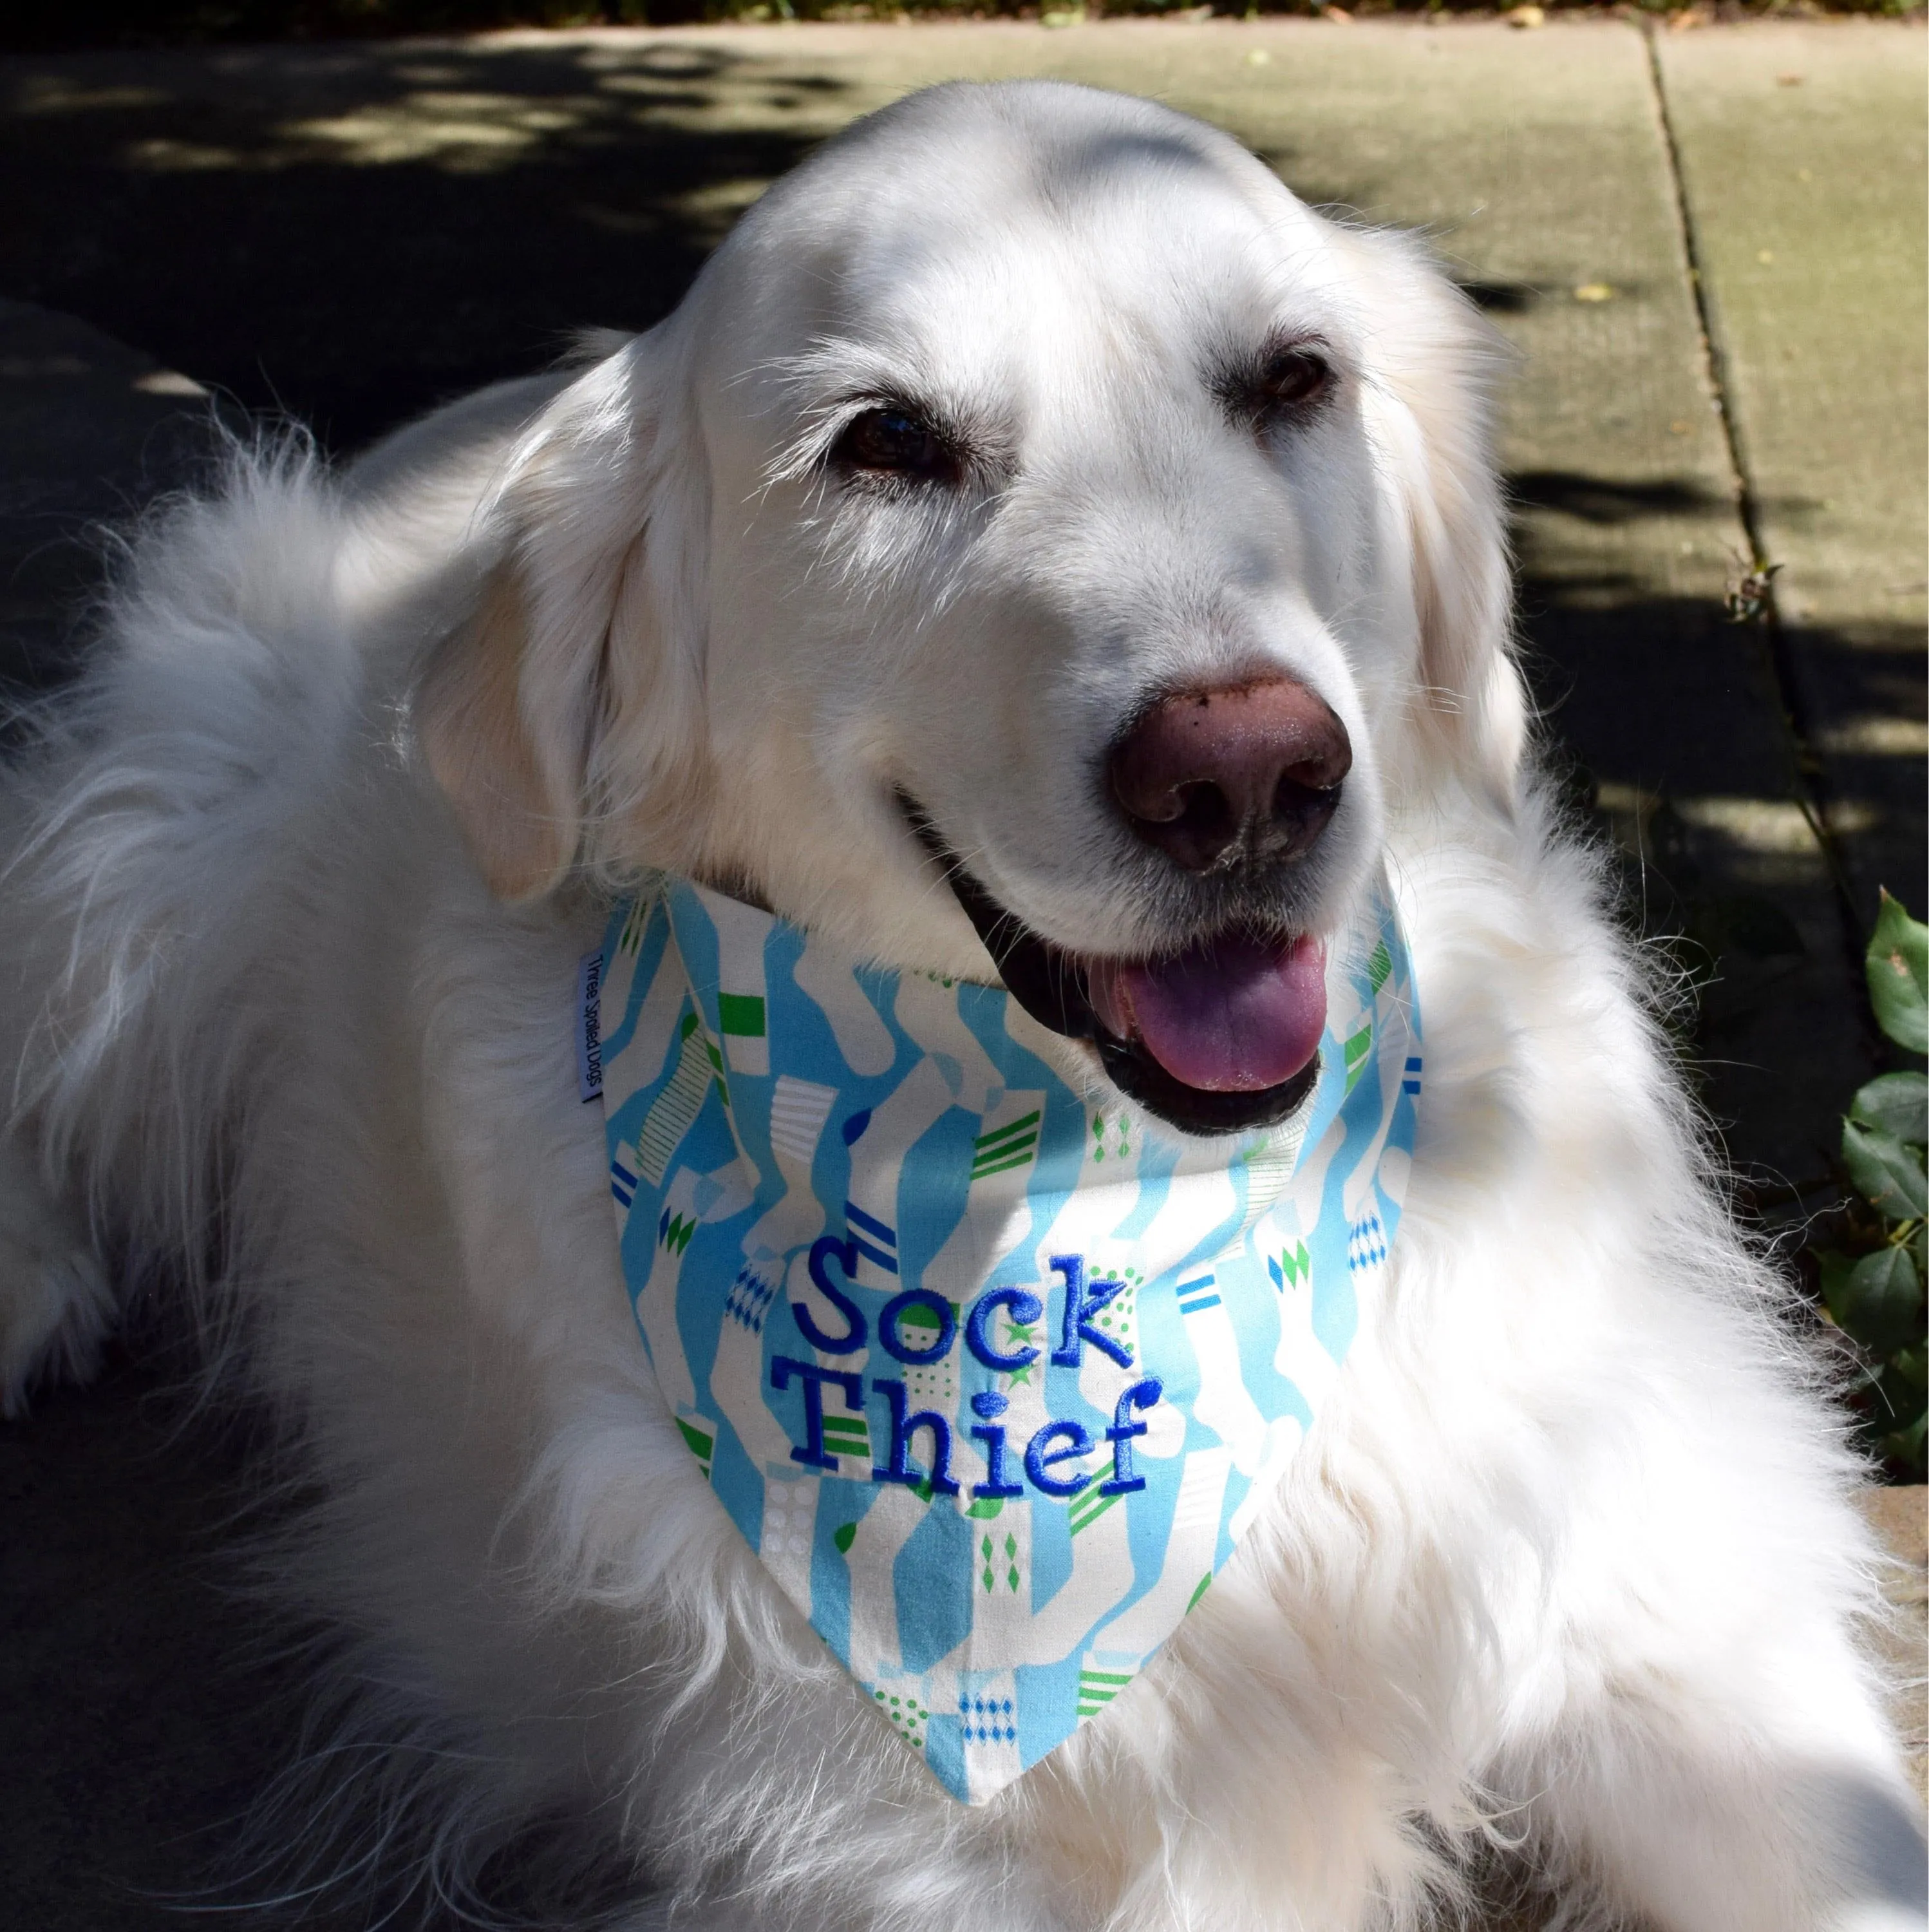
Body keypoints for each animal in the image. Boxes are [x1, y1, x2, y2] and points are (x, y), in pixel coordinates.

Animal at [0, 83, 1923, 1932]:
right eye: (888, 442)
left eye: (1293, 380)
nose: (1244, 778)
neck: (1083, 1201)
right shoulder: (928, 1849)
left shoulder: (1688, 1636)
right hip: (168, 818)